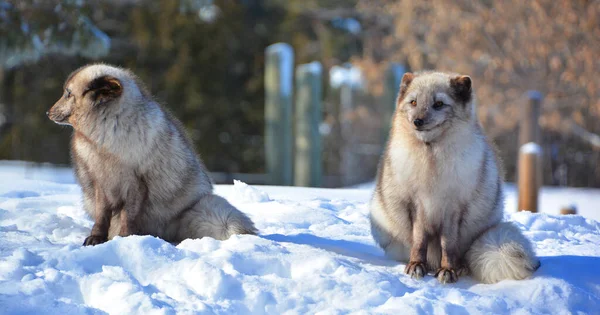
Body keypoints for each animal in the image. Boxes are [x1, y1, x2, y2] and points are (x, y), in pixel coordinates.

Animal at [45, 63, 255, 247]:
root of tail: (167, 233)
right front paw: (96, 238)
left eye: (68, 93)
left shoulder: (136, 183)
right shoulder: (101, 183)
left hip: (209, 209)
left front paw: (124, 239)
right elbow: (102, 216)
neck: (105, 142)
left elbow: (128, 216)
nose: (47, 112)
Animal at [370, 73, 540, 286]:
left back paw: (459, 267)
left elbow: (448, 244)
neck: (431, 158)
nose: (417, 121)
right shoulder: (417, 204)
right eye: (413, 102)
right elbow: (419, 240)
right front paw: (416, 265)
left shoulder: (453, 206)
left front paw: (448, 270)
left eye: (439, 104)